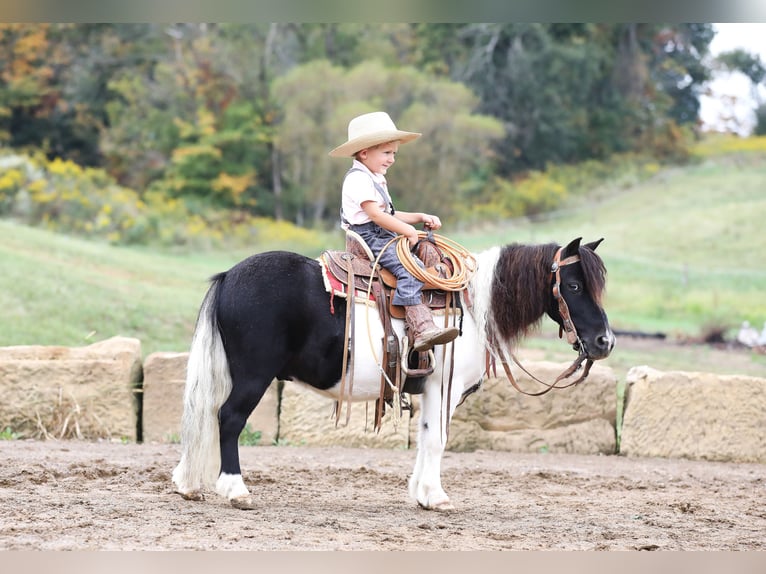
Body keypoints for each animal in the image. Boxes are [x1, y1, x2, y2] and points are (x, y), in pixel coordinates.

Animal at [174, 238, 616, 512]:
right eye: (573, 285)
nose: (604, 341)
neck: (473, 309)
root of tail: (229, 277)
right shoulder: (444, 387)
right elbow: (437, 440)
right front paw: (436, 497)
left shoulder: (430, 390)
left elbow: (424, 438)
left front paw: (420, 494)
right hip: (253, 376)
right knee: (229, 419)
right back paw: (235, 489)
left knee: (205, 417)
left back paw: (187, 483)